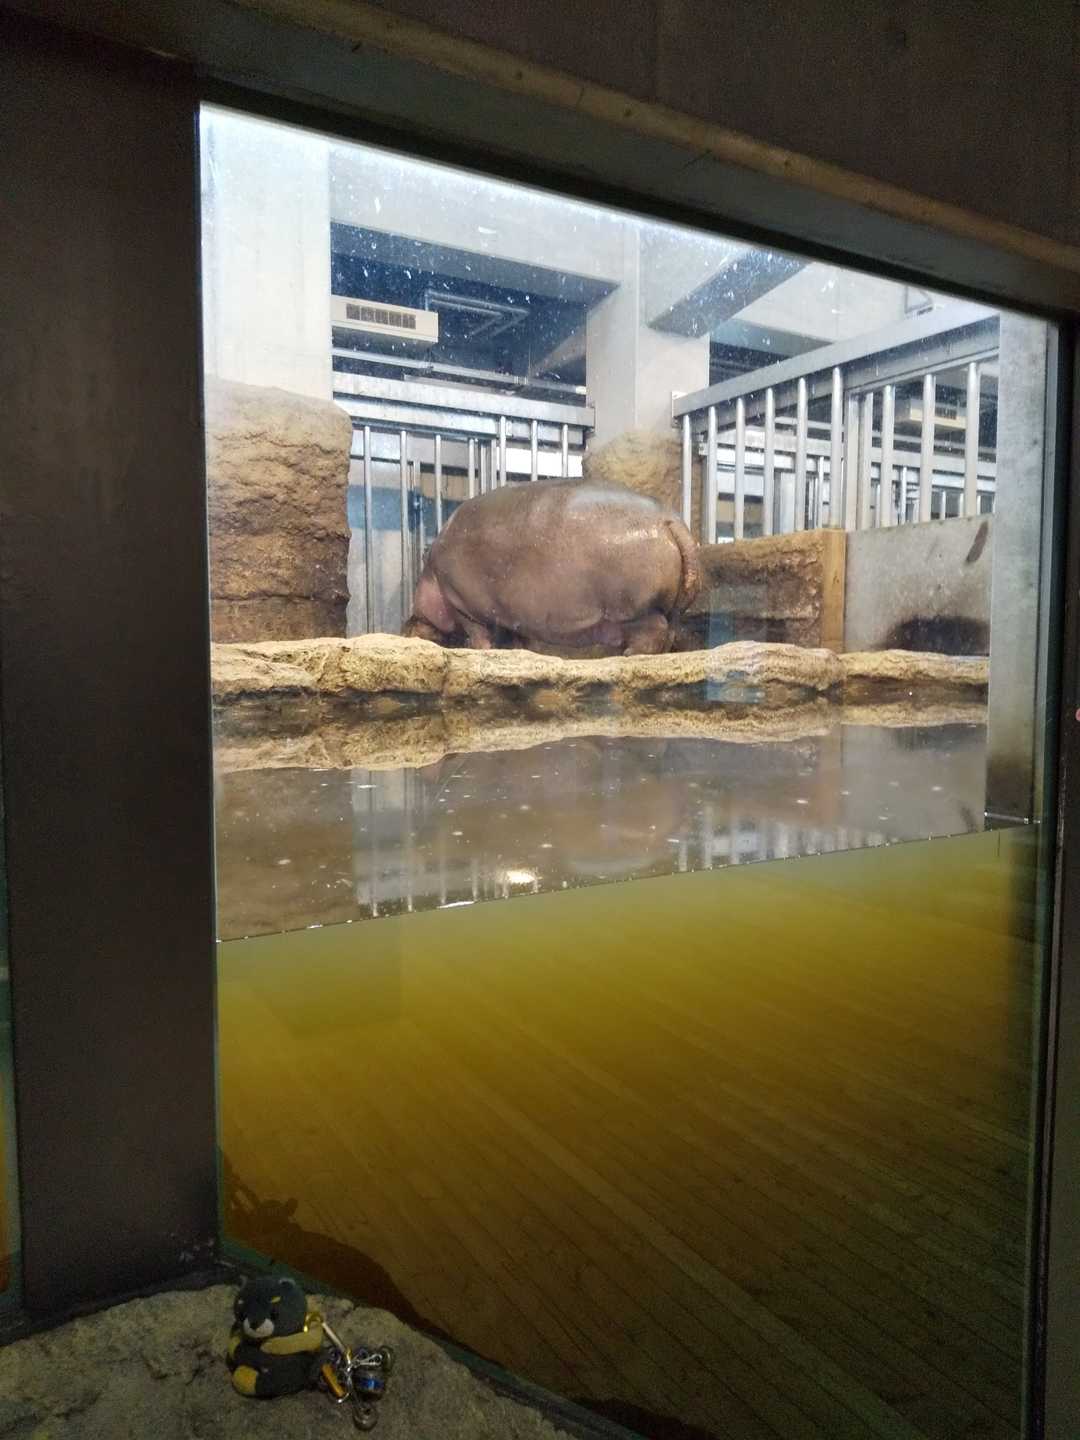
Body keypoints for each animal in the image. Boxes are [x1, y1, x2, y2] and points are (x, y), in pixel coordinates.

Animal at [402, 478, 701, 655]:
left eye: (415, 611)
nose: (405, 628)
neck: (431, 573)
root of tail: (669, 520)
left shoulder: (462, 604)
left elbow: (477, 633)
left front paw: (479, 650)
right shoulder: (512, 613)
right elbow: (515, 637)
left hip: (633, 608)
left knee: (654, 629)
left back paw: (628, 654)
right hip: (668, 609)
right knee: (670, 630)